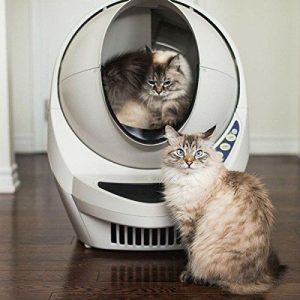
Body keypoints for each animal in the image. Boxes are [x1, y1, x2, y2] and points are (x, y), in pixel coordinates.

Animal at [162, 125, 286, 294]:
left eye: (198, 153)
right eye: (180, 152)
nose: (189, 162)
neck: (186, 182)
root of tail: (262, 276)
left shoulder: (190, 224)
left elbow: (190, 253)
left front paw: (188, 273)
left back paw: (200, 279)